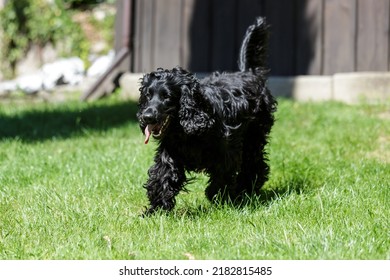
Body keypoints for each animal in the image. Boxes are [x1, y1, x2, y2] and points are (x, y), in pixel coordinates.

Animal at [137, 17, 278, 214]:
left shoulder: (226, 152)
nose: (147, 117)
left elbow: (221, 177)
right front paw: (156, 209)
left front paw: (220, 199)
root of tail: (248, 72)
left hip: (254, 136)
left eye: (167, 96)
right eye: (148, 95)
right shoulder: (170, 153)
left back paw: (244, 191)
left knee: (254, 164)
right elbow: (162, 177)